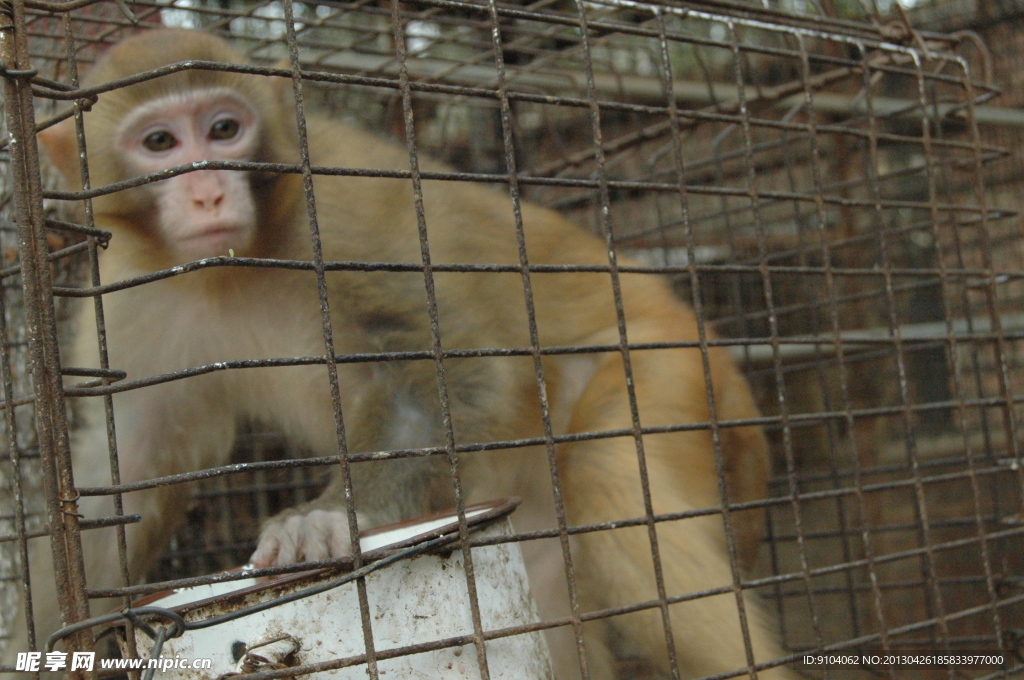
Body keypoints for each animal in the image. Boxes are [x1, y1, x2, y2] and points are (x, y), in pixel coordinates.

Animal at [0, 27, 794, 680]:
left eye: (224, 128)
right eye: (160, 143)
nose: (205, 194)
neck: (229, 267)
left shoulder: (338, 215)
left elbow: (454, 367)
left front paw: (327, 521)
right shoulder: (130, 296)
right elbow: (125, 475)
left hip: (673, 368)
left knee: (612, 480)